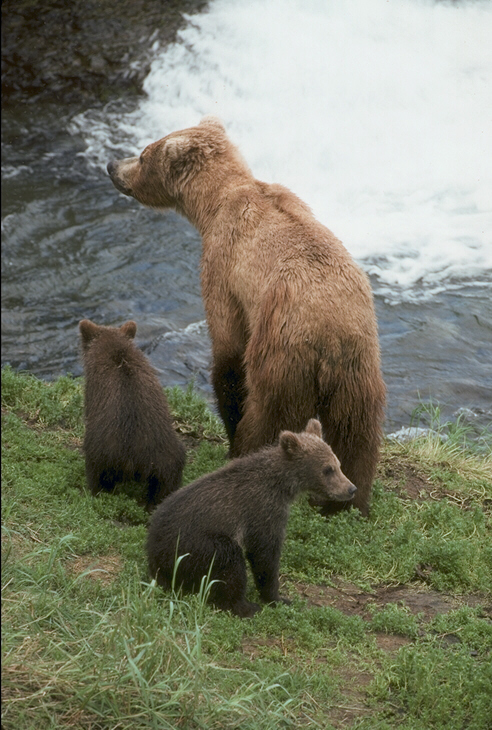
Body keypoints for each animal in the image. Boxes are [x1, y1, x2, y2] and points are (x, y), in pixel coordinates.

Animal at [106, 116, 384, 516]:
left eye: (143, 154)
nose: (112, 165)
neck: (214, 204)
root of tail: (330, 334)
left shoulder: (223, 267)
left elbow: (228, 349)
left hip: (284, 355)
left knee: (268, 414)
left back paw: (244, 455)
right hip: (359, 366)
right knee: (357, 432)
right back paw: (348, 501)